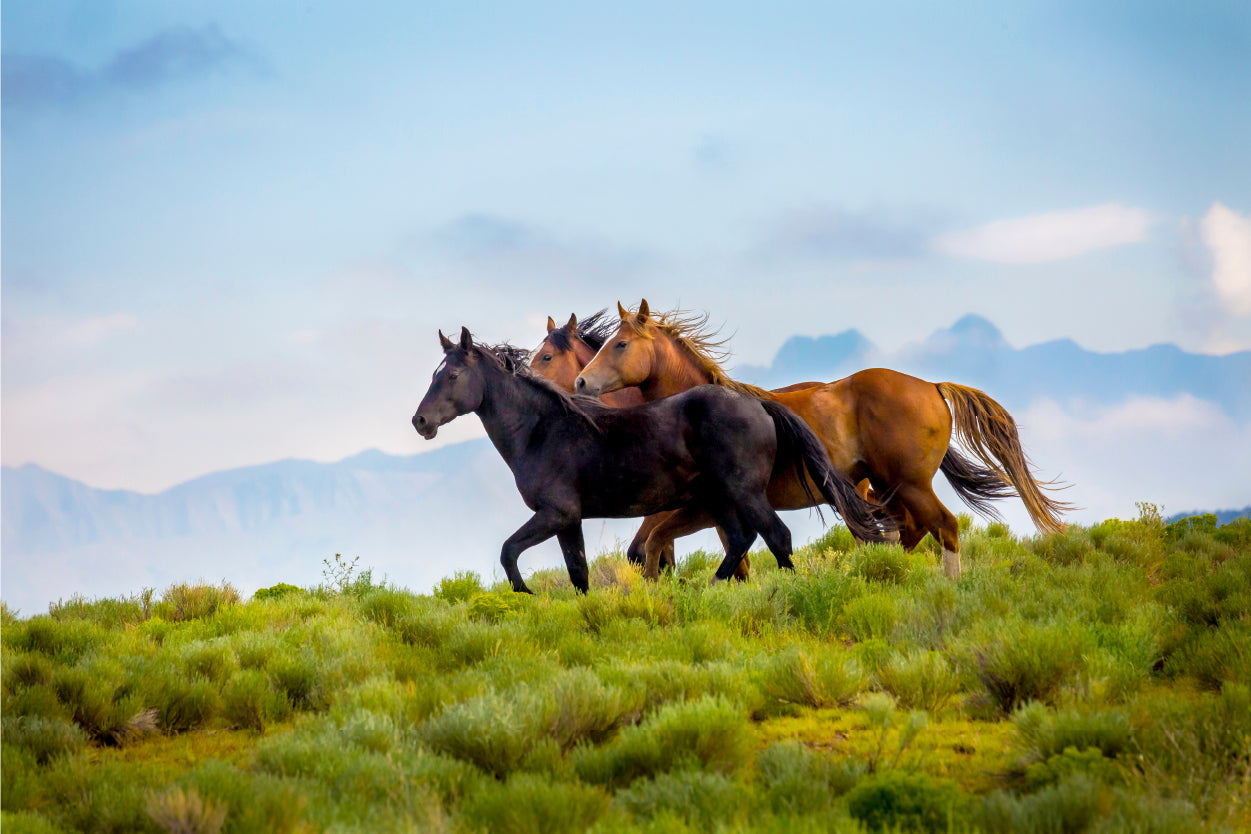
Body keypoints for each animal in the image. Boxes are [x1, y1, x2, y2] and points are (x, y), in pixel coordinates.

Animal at [412, 327, 886, 591]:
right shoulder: (568, 520)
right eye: (434, 374)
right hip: (719, 500)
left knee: (777, 538)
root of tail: (758, 404)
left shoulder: (554, 513)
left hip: (744, 493)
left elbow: (509, 552)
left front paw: (525, 594)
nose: (420, 421)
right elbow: (579, 573)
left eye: (452, 375)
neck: (542, 430)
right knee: (741, 542)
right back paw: (710, 588)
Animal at [574, 301, 1072, 580]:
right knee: (905, 533)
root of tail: (932, 387)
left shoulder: (709, 504)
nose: (580, 383)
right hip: (886, 488)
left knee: (943, 527)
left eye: (621, 344)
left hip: (910, 485)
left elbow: (665, 545)